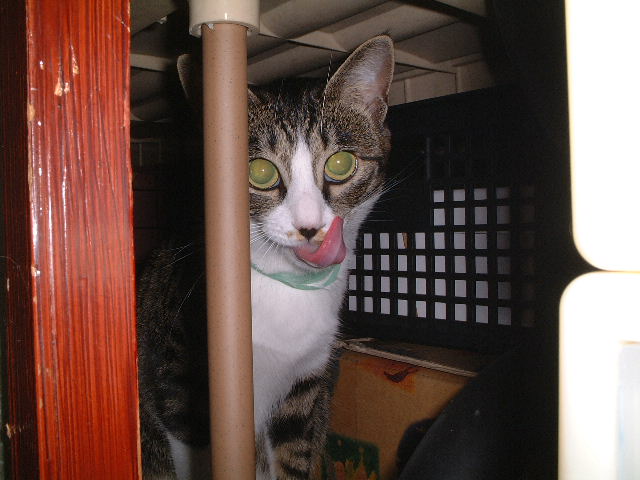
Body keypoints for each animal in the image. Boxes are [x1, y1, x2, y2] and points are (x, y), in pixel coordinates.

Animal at [137, 35, 394, 479]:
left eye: (341, 163)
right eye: (259, 171)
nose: (309, 226)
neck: (285, 285)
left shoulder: (304, 384)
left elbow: (293, 453)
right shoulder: (180, 381)